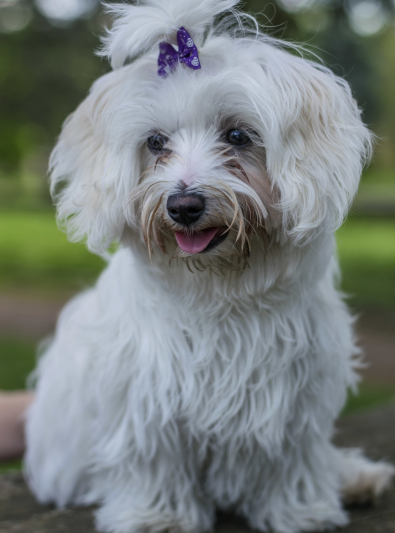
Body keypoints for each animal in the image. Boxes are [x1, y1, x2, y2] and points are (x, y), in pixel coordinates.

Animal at [24, 1, 392, 532]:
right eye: (156, 143)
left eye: (237, 135)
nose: (183, 205)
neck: (221, 291)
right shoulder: (146, 394)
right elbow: (153, 456)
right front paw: (158, 516)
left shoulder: (295, 395)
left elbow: (292, 457)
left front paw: (300, 510)